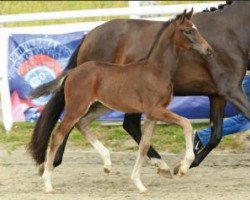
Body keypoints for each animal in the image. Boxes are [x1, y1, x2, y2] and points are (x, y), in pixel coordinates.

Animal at [30, 9, 211, 194]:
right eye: (188, 31)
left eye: (196, 29)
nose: (208, 49)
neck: (157, 70)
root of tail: (71, 72)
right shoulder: (155, 110)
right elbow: (186, 123)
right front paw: (183, 166)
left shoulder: (152, 114)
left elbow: (144, 145)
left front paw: (140, 183)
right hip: (77, 107)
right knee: (58, 135)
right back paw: (48, 182)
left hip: (101, 106)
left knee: (82, 124)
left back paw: (107, 163)